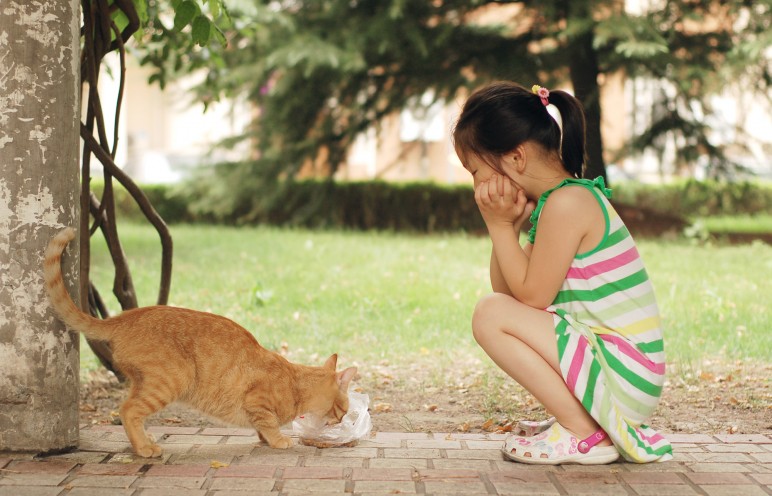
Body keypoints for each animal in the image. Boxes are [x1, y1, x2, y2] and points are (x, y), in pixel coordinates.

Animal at [42, 228, 356, 458]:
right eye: (343, 410)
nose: (342, 421)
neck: (295, 382)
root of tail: (126, 317)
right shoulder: (257, 401)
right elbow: (267, 423)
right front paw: (279, 440)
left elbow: (260, 428)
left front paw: (267, 439)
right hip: (171, 380)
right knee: (128, 410)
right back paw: (144, 448)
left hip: (142, 382)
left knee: (129, 408)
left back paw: (143, 439)